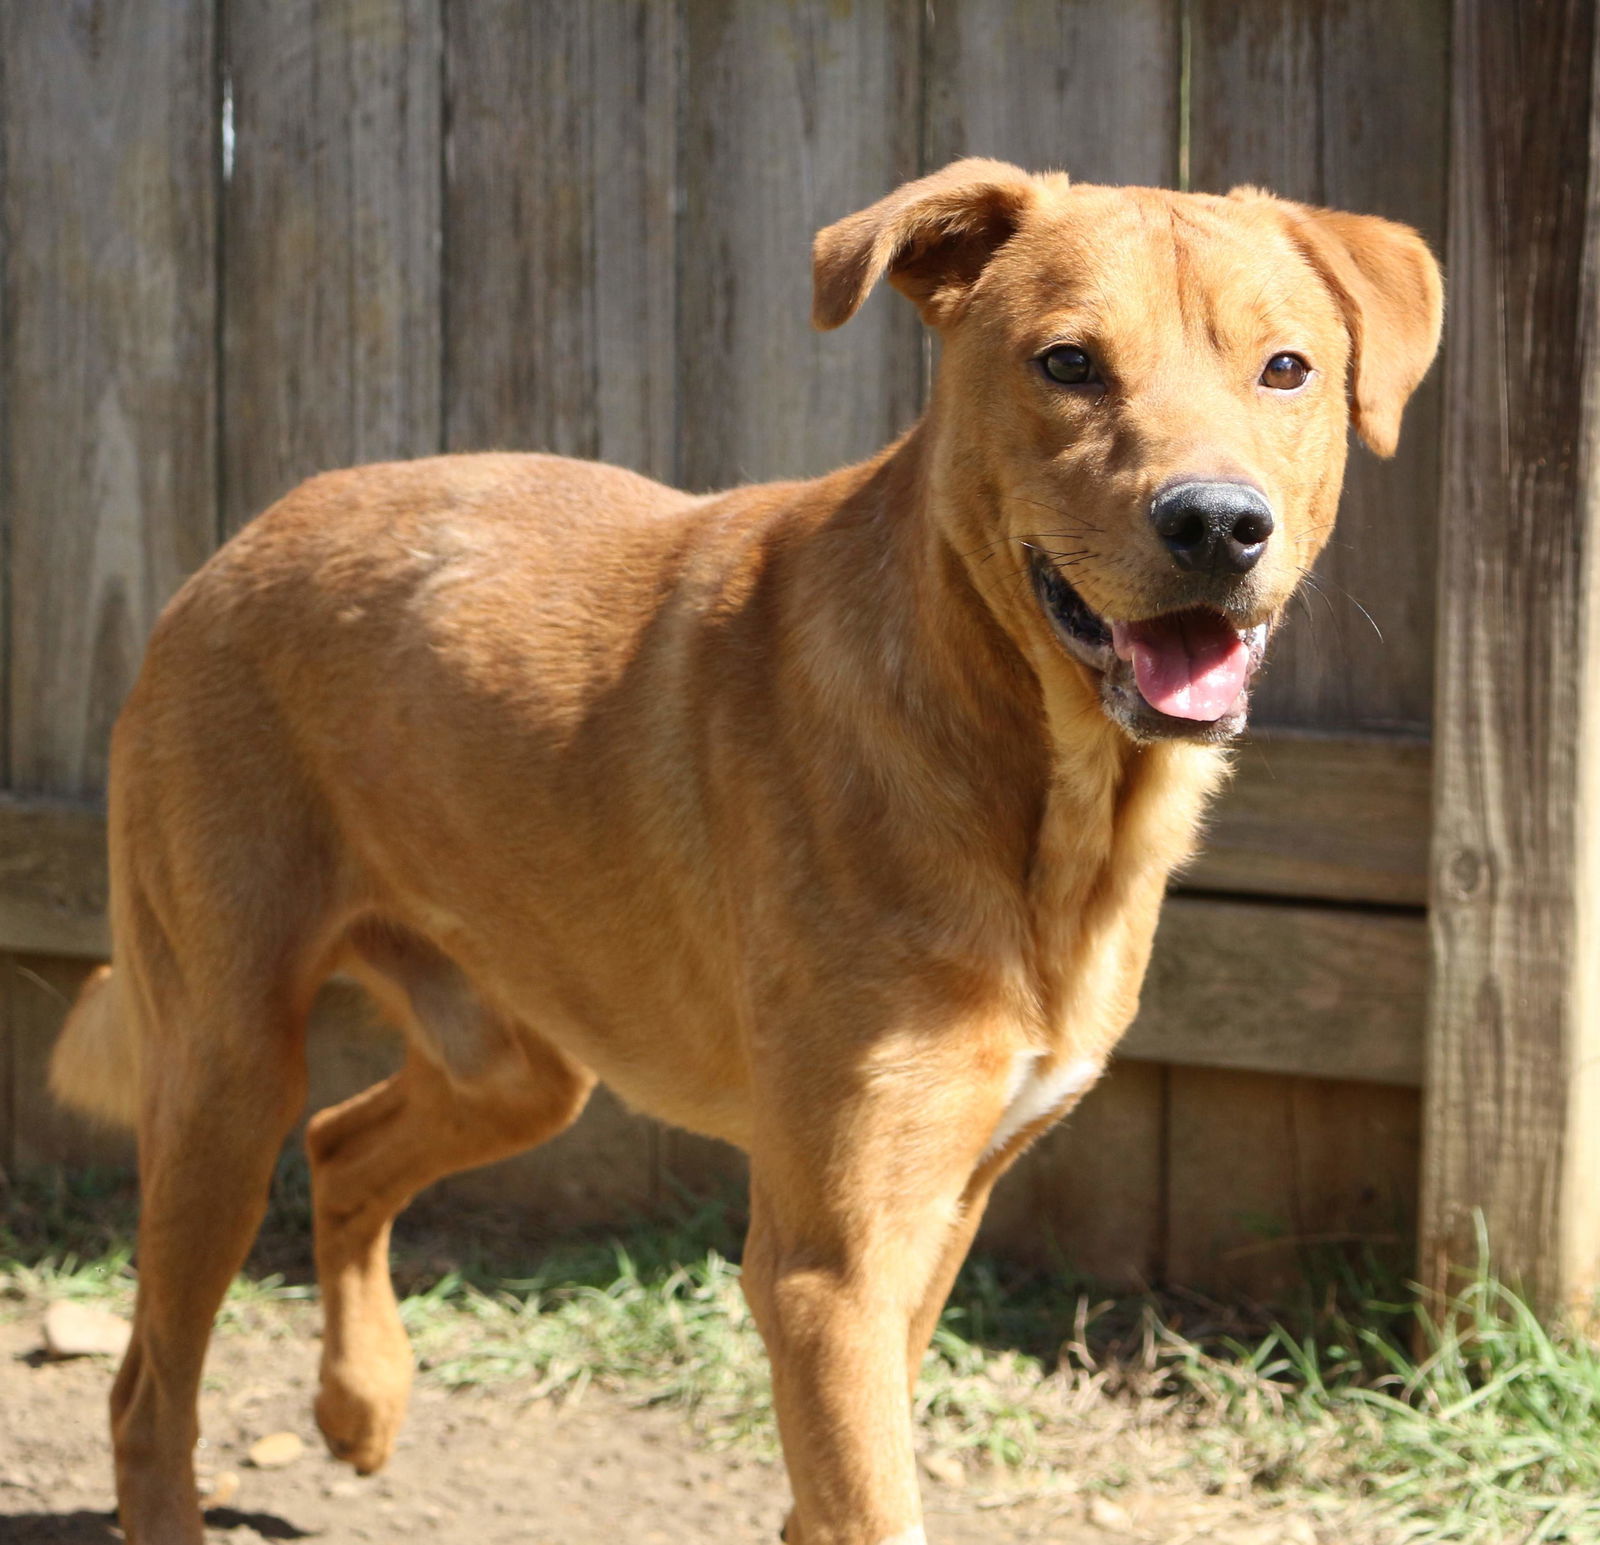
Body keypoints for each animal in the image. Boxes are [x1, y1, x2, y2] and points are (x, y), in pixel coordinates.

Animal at [56, 159, 1446, 1545]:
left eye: (1285, 369)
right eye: (1067, 363)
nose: (1217, 526)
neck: (1041, 799)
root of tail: (240, 543)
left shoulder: (939, 1211)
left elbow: (836, 1488)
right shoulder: (829, 1264)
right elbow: (870, 1499)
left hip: (520, 1063)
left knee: (344, 1148)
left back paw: (360, 1401)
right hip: (226, 1068)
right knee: (146, 1389)